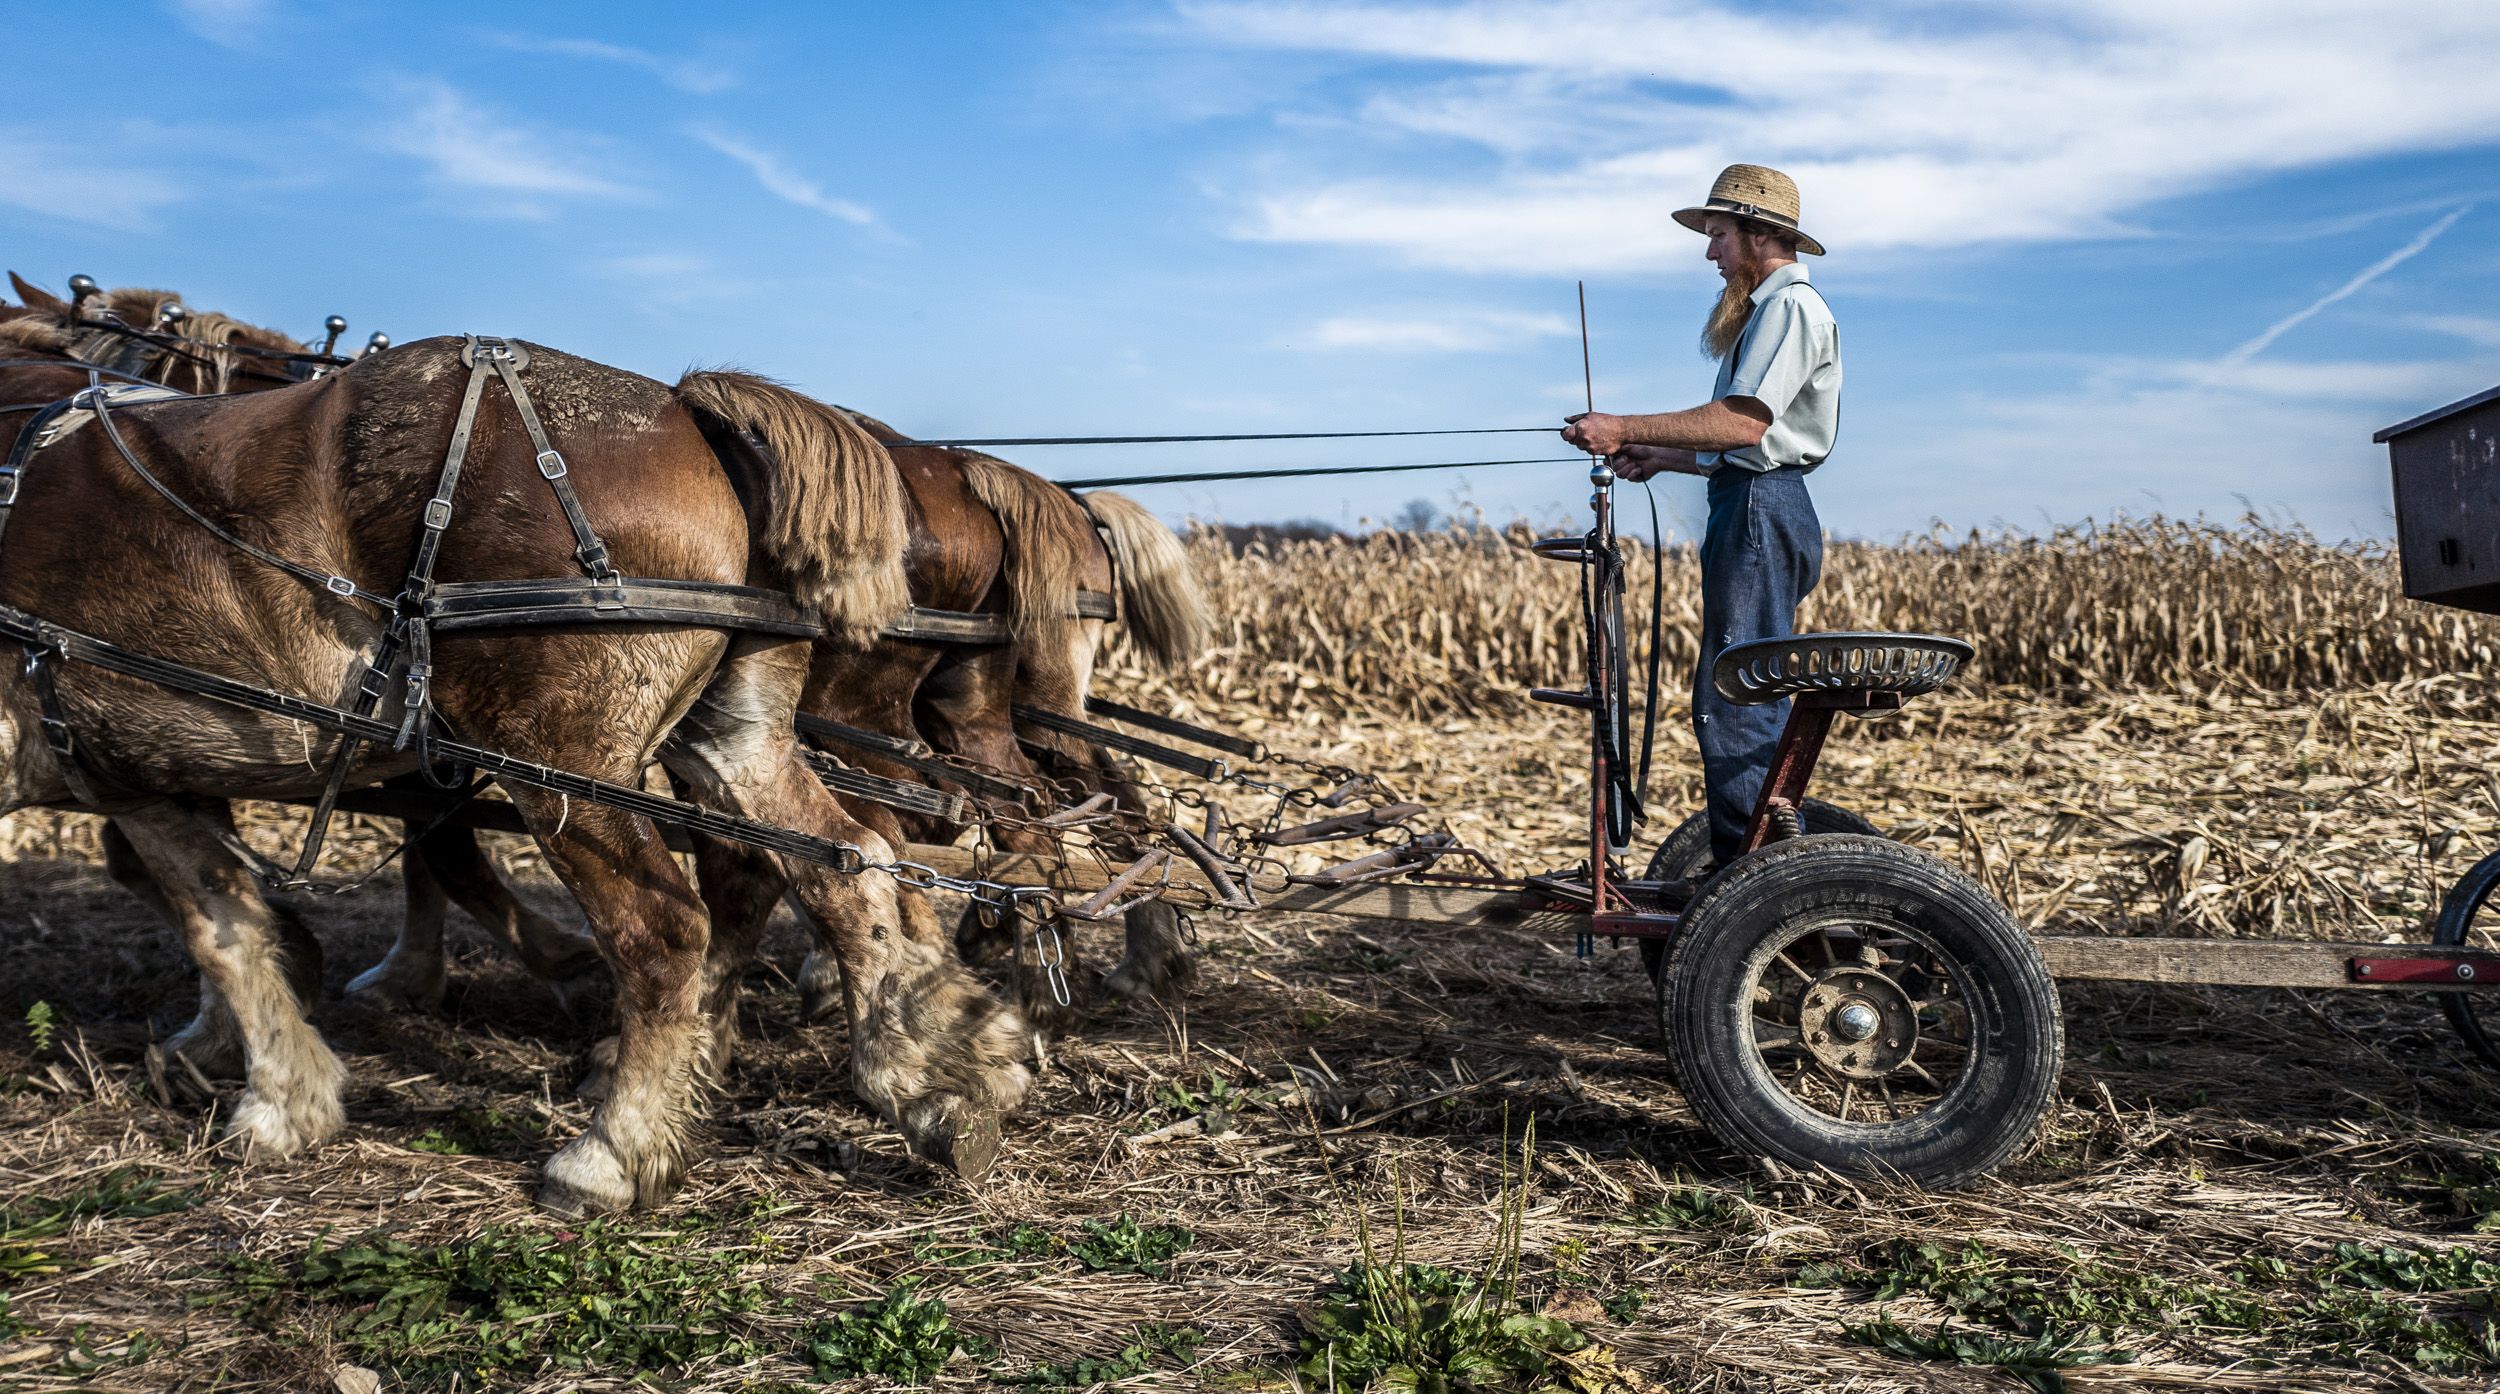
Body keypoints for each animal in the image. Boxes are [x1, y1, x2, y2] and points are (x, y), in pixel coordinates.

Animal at [0, 317, 1025, 1214]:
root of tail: (686, 411)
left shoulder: (118, 761)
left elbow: (225, 921)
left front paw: (277, 1088)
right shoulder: (155, 770)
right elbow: (234, 912)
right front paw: (247, 1056)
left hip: (558, 759)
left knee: (668, 927)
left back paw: (613, 1152)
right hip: (734, 734)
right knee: (849, 863)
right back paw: (931, 1073)